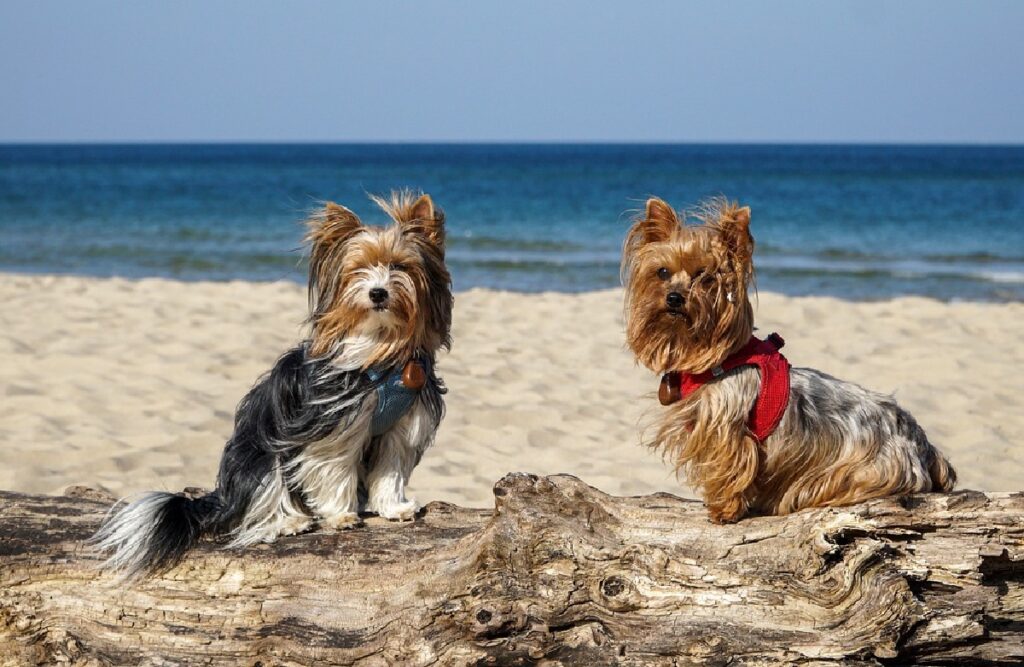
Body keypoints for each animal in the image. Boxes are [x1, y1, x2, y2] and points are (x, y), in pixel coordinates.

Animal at [94, 190, 454, 577]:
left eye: (400, 266)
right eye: (358, 269)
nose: (377, 293)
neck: (380, 348)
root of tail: (223, 499)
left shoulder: (403, 424)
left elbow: (391, 467)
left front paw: (394, 507)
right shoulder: (332, 426)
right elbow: (334, 468)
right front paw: (341, 515)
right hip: (261, 457)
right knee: (260, 505)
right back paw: (290, 521)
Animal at [618, 195, 954, 524]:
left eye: (706, 276)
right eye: (662, 272)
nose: (674, 298)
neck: (713, 359)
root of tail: (923, 443)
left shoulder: (727, 428)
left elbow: (731, 465)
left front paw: (724, 510)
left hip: (863, 467)